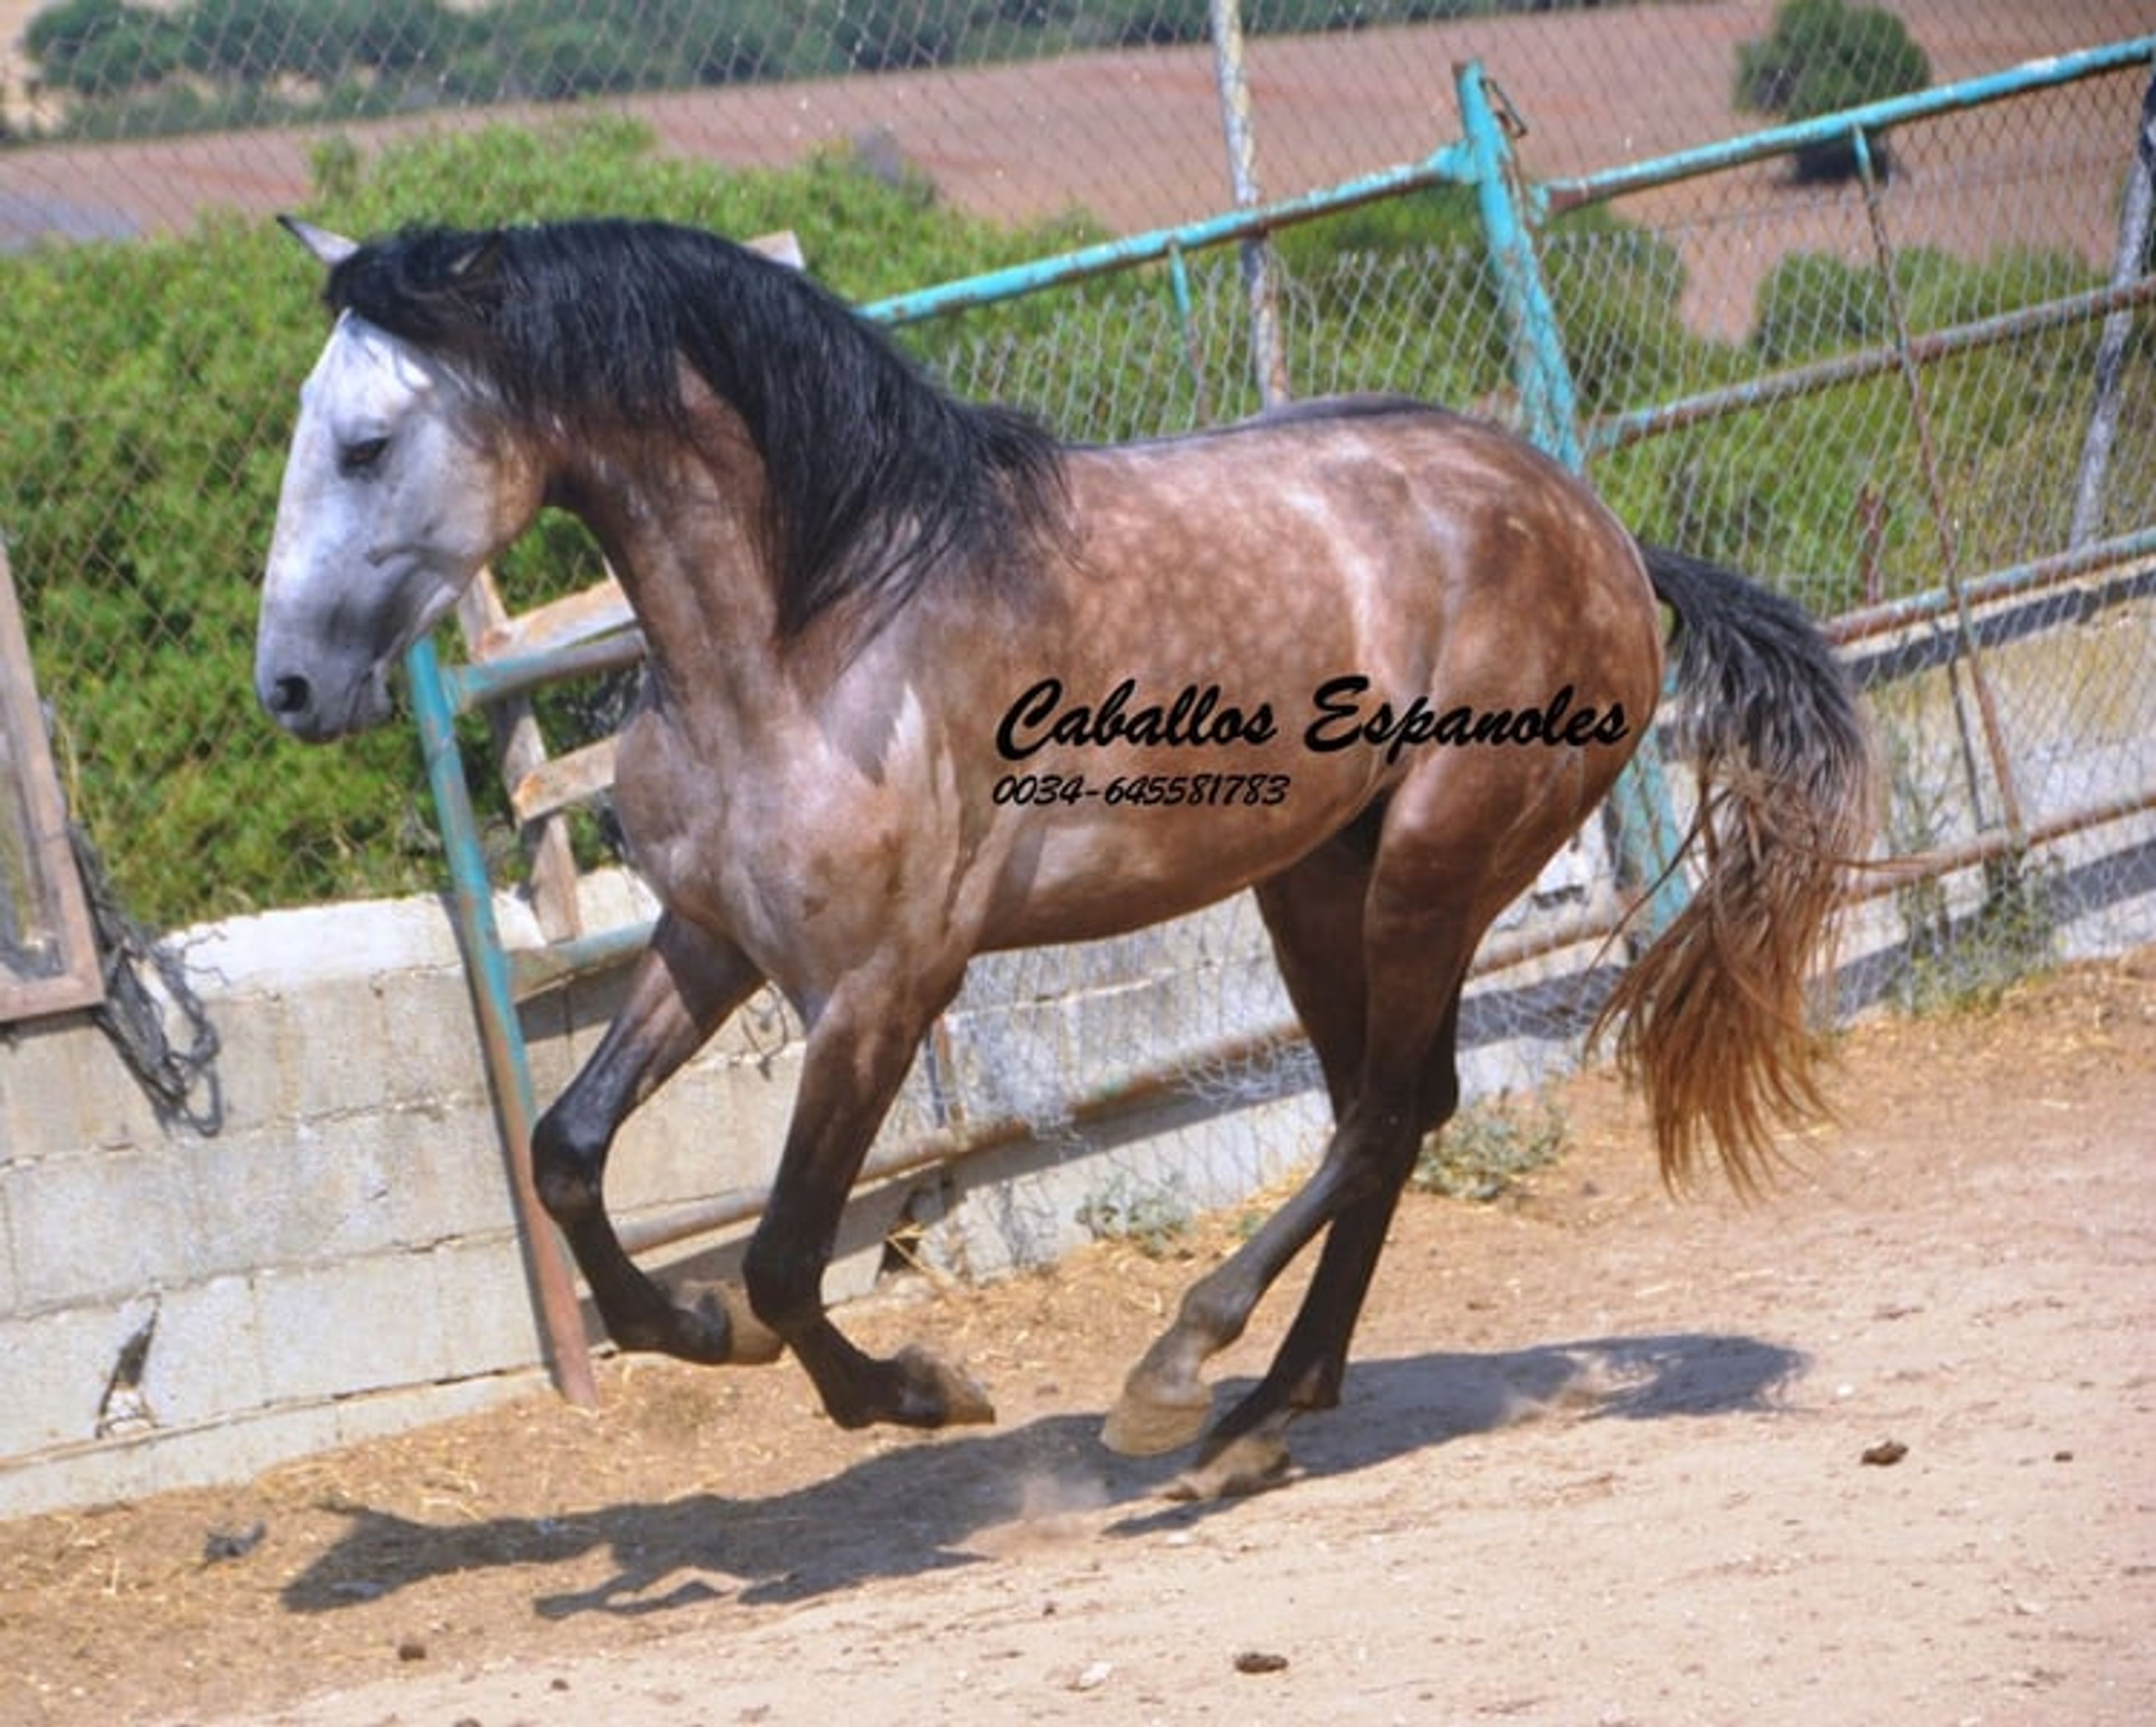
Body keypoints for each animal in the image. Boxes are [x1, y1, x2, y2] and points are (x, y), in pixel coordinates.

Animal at [256, 215, 1874, 1498]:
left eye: (367, 444)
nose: (286, 688)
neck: (817, 627)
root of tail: (1605, 535)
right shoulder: (713, 939)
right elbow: (570, 1153)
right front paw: (697, 1331)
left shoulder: (884, 988)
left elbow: (785, 1251)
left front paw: (917, 1390)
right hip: (1315, 879)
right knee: (1401, 1110)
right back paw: (1263, 1413)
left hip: (1435, 865)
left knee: (1380, 1115)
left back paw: (1179, 1375)